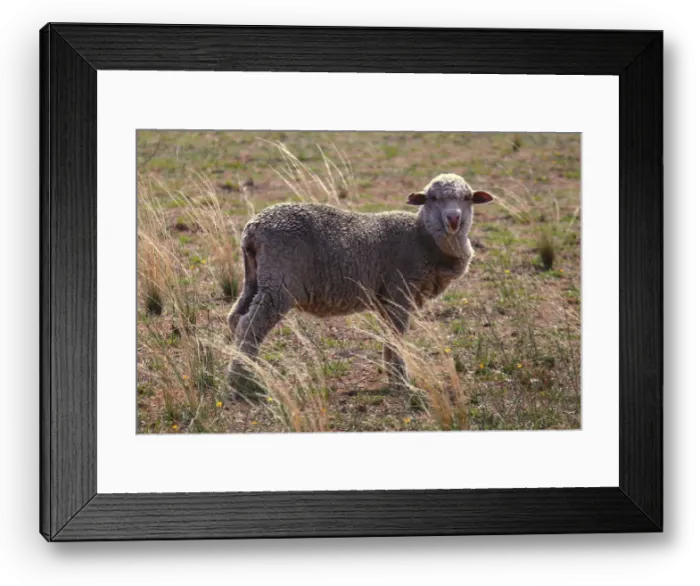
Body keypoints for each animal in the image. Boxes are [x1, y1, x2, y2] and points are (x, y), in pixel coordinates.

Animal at [226, 173, 494, 391]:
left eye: (467, 197)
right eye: (432, 198)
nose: (453, 219)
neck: (422, 238)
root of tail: (253, 228)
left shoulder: (385, 299)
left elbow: (389, 336)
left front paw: (392, 375)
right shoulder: (399, 291)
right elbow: (397, 336)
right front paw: (402, 382)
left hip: (255, 276)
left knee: (235, 317)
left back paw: (241, 368)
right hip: (280, 283)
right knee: (251, 324)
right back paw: (244, 381)